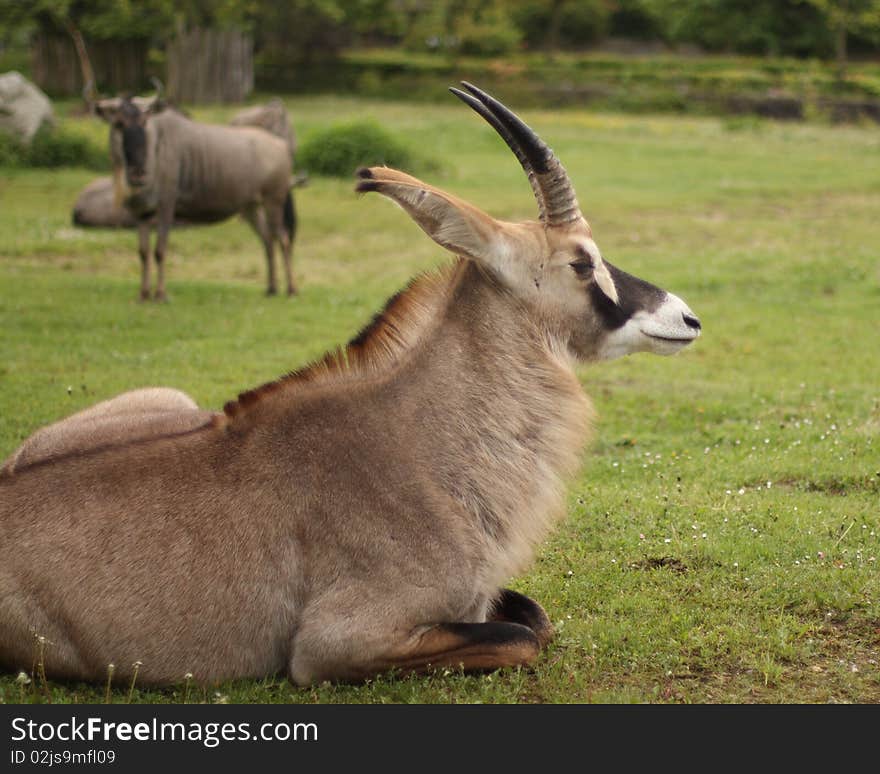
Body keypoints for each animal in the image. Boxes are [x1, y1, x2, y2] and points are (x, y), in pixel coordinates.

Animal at [0, 85, 700, 688]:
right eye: (581, 261)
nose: (686, 317)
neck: (418, 442)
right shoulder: (335, 644)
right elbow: (522, 636)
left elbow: (532, 615)